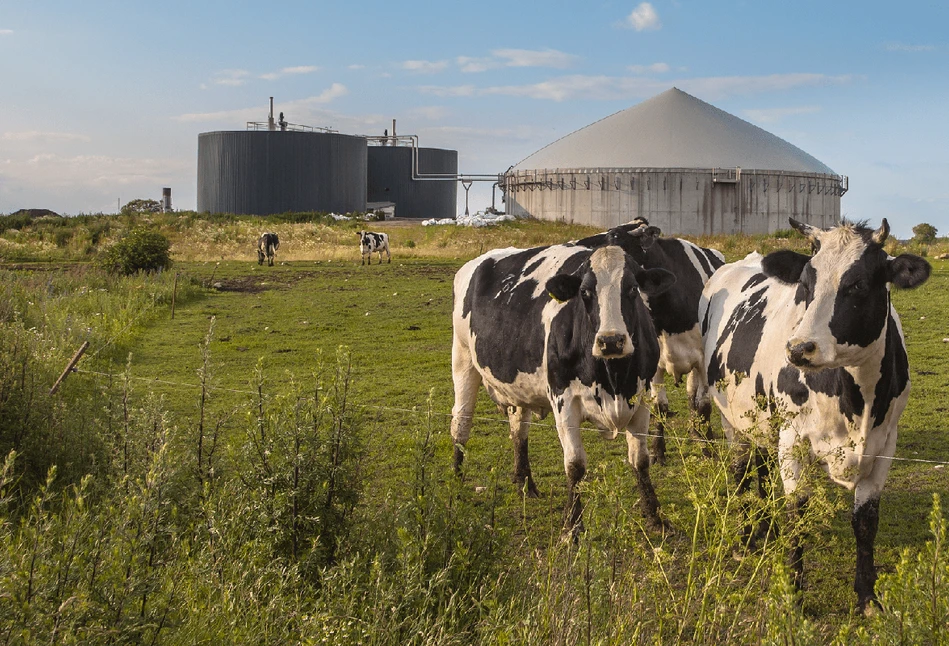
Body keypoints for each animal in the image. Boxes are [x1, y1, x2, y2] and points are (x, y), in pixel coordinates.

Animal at [450, 230, 672, 536]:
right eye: (585, 292)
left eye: (631, 289)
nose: (611, 341)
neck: (613, 378)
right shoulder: (563, 400)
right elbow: (575, 465)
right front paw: (572, 526)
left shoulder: (641, 398)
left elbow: (640, 461)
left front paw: (655, 517)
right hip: (462, 359)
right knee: (461, 422)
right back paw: (457, 479)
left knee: (519, 430)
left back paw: (525, 484)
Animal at [572, 220, 724, 464]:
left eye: (616, 237)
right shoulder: (655, 363)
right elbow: (659, 407)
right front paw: (657, 451)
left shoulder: (702, 360)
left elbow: (703, 406)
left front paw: (708, 449)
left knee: (694, 398)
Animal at [700, 218, 928, 612]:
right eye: (805, 283)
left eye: (857, 284)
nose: (799, 348)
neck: (855, 400)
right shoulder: (793, 440)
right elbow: (798, 514)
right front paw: (793, 594)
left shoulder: (885, 445)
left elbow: (866, 522)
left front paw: (867, 597)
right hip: (732, 419)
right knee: (741, 472)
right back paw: (746, 539)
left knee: (761, 465)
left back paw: (766, 529)